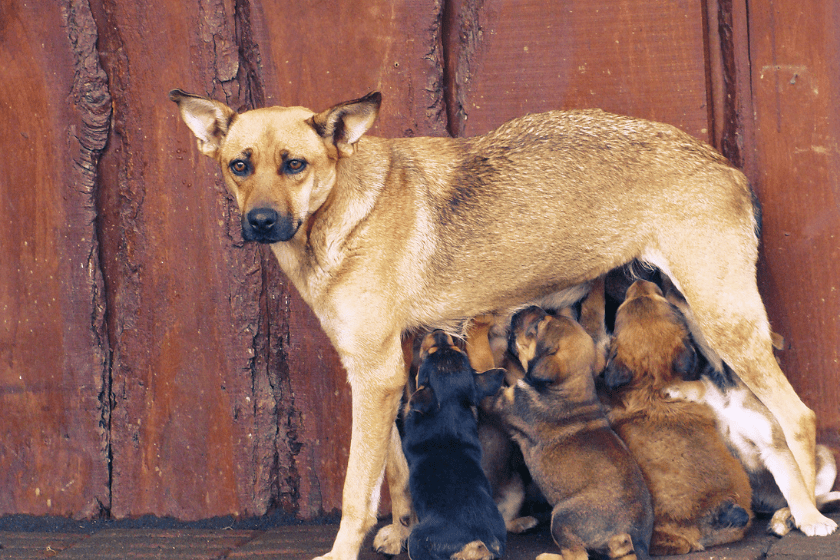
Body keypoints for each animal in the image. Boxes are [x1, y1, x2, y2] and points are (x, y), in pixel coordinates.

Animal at [400, 330, 506, 560]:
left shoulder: (409, 408)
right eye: (457, 349)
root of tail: (479, 543)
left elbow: (407, 381)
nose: (439, 332)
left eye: (427, 354)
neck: (449, 408)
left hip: (417, 541)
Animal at [492, 306, 656, 560]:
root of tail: (633, 537)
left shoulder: (505, 401)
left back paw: (548, 556)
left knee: (577, 555)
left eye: (537, 326)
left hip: (562, 517)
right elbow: (516, 371)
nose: (530, 307)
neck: (571, 385)